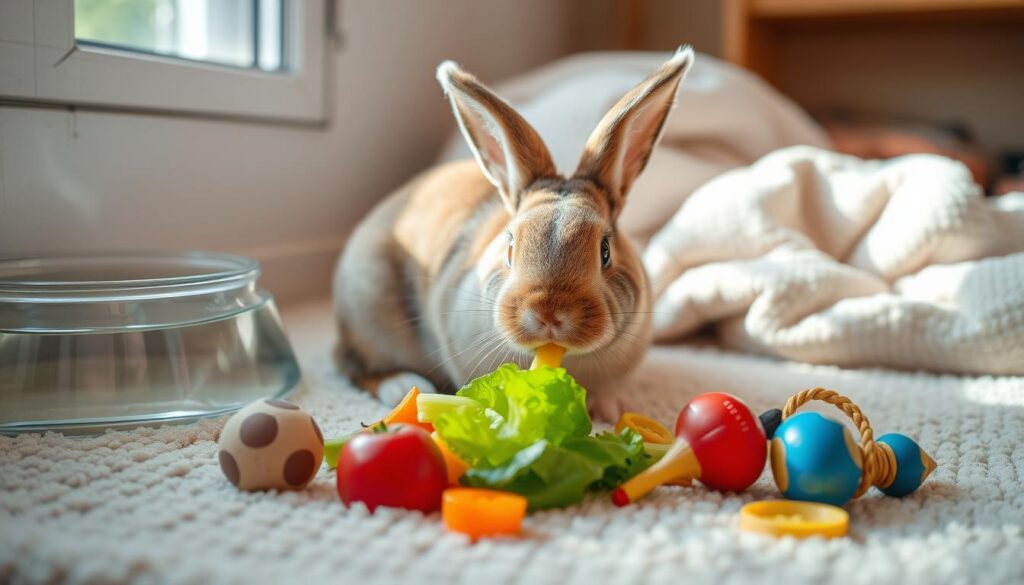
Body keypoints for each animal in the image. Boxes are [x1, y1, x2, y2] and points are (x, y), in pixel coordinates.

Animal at [331, 45, 692, 422]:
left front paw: (610, 410)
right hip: (369, 312)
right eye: (509, 247)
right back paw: (402, 386)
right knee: (352, 365)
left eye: (605, 251)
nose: (548, 313)